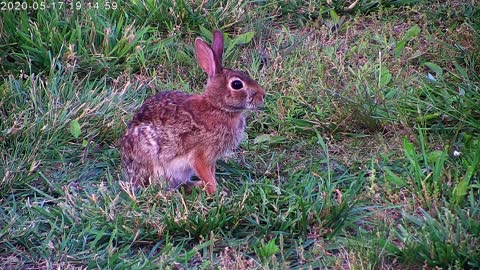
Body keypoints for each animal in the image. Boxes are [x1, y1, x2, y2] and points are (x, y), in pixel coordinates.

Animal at [119, 30, 262, 194]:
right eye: (237, 84)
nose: (262, 96)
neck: (217, 107)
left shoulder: (211, 158)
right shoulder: (200, 155)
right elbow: (207, 175)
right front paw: (217, 192)